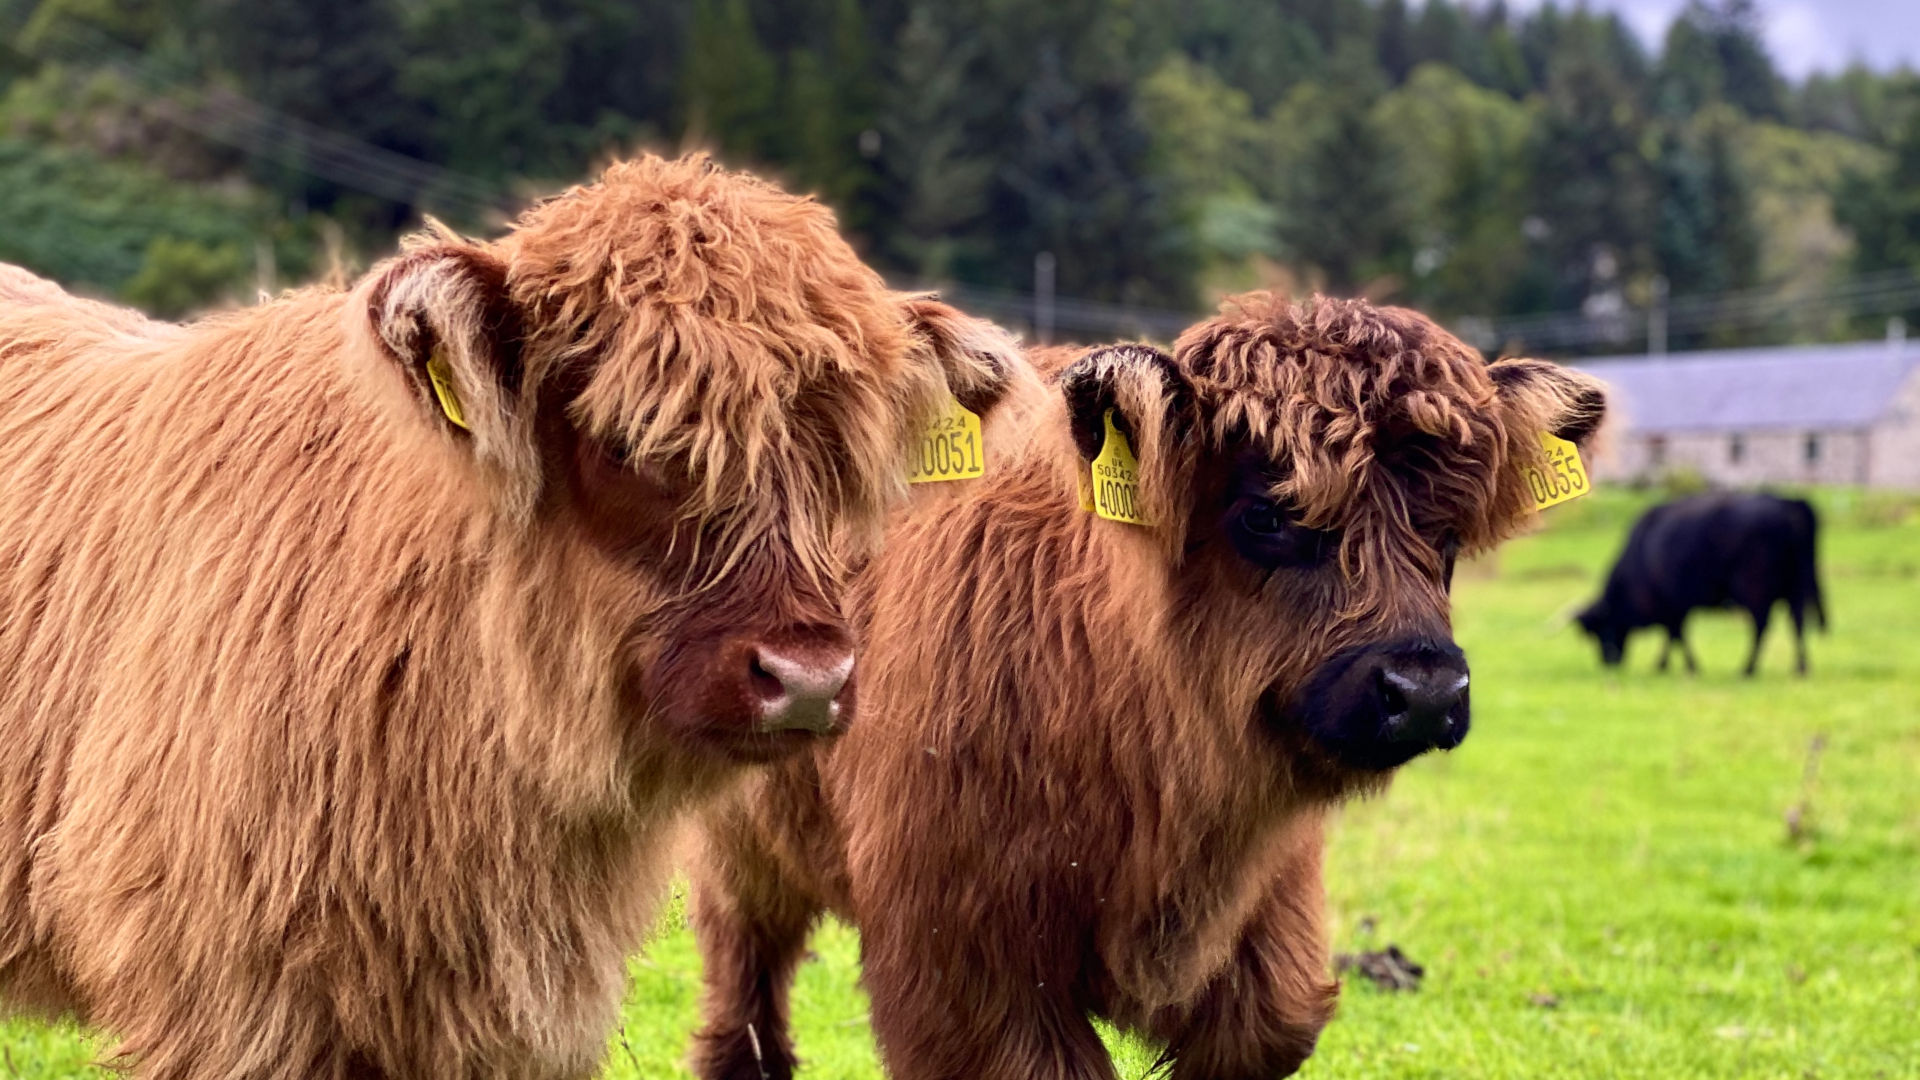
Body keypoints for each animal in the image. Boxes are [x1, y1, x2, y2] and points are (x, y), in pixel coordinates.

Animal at [685, 293, 1607, 1080]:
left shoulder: (1270, 924)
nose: (1422, 690)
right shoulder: (967, 957)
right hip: (741, 847)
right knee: (745, 981)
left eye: (1445, 535)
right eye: (1265, 514)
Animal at [1575, 492, 1826, 676]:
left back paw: (1747, 668)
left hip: (1755, 589)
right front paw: (1665, 664)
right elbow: (1673, 635)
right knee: (1797, 623)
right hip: (1796, 588)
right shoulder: (1676, 605)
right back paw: (1801, 667)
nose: (1608, 662)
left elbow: (1677, 634)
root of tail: (1788, 503)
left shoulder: (1672, 603)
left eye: (1602, 631)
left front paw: (1683, 665)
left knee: (1761, 626)